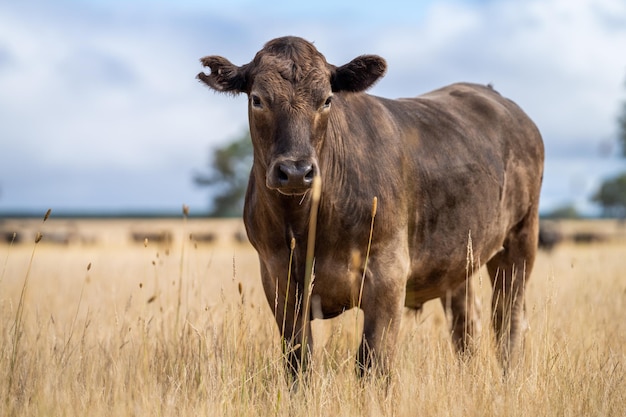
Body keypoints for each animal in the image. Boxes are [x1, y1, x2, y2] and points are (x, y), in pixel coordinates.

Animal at [197, 35, 544, 374]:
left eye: (327, 100)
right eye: (257, 99)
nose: (295, 171)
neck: (305, 224)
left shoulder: (388, 274)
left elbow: (372, 362)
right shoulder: (278, 279)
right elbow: (299, 360)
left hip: (521, 238)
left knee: (508, 320)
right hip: (460, 256)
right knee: (466, 325)